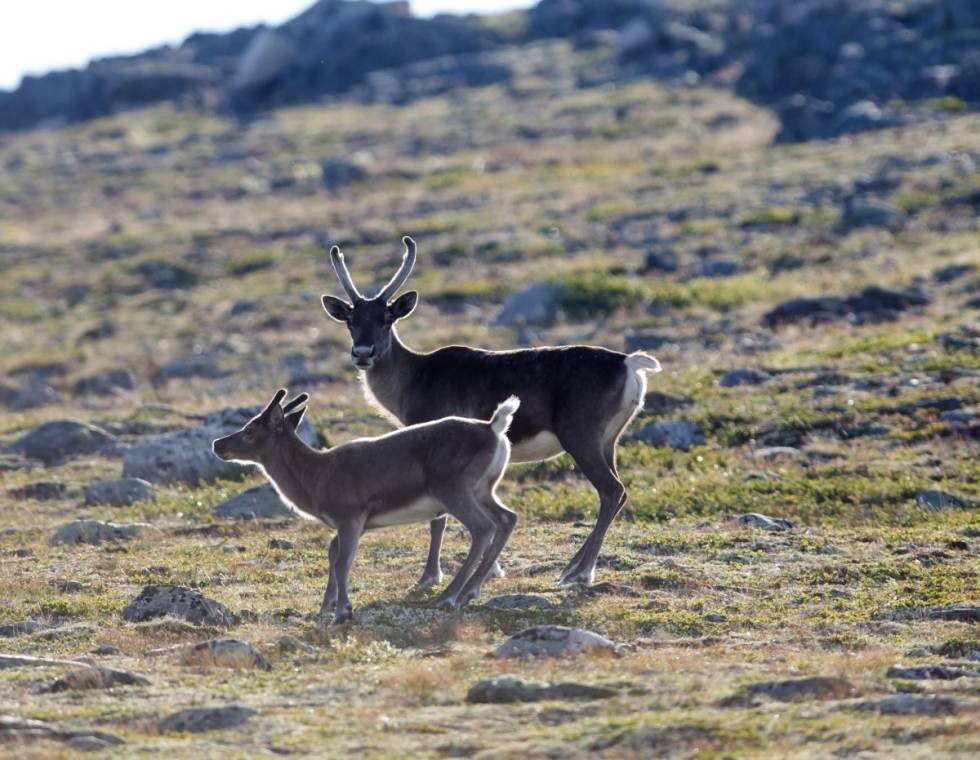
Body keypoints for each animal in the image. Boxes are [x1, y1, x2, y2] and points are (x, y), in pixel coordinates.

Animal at [212, 392, 520, 624]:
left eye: (250, 430)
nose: (217, 444)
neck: (314, 480)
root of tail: (495, 428)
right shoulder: (351, 523)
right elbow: (333, 553)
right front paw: (325, 606)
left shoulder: (350, 515)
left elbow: (342, 561)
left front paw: (342, 611)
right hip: (484, 488)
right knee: (508, 517)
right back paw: (470, 591)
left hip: (453, 488)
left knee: (484, 527)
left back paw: (450, 595)